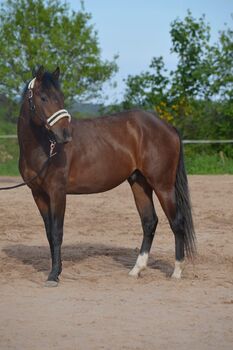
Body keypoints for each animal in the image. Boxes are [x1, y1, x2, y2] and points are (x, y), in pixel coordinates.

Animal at [18, 66, 196, 288]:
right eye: (43, 97)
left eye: (61, 97)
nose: (65, 134)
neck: (43, 147)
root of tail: (168, 127)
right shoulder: (38, 194)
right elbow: (49, 233)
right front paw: (55, 270)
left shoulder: (57, 192)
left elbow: (57, 232)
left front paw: (53, 276)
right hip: (139, 183)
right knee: (149, 222)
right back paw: (136, 269)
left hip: (163, 185)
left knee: (177, 222)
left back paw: (177, 272)